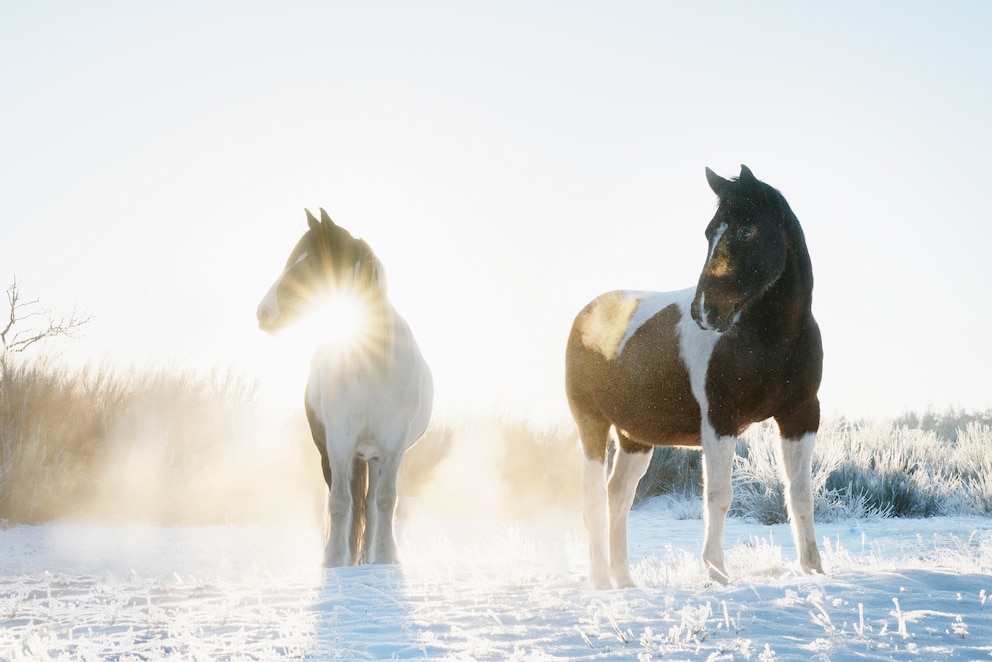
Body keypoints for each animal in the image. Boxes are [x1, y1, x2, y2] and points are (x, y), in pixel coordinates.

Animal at [256, 210, 430, 568]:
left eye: (310, 263)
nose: (263, 313)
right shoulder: (338, 440)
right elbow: (339, 502)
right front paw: (334, 561)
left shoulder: (393, 443)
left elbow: (385, 501)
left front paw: (386, 558)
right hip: (342, 451)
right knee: (353, 502)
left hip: (374, 455)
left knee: (371, 505)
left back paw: (367, 558)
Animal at [560, 165, 824, 588]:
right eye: (709, 232)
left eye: (746, 231)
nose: (705, 312)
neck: (770, 337)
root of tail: (585, 316)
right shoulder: (719, 420)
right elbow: (719, 496)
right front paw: (717, 572)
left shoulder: (801, 415)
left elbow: (800, 493)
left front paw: (813, 568)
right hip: (593, 425)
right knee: (594, 499)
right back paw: (601, 581)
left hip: (635, 438)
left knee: (618, 497)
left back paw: (625, 581)